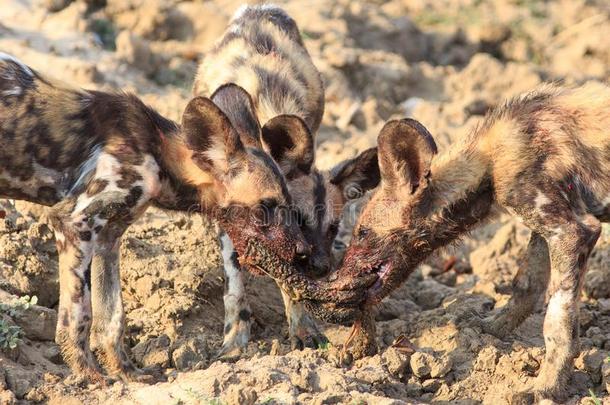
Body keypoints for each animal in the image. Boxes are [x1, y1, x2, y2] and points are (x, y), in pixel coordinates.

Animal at [0, 52, 312, 382]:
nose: (304, 252)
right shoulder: (73, 222)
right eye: (266, 205)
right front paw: (90, 376)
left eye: (289, 204)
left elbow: (112, 317)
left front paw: (127, 374)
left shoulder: (108, 238)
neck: (158, 152)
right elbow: (79, 315)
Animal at [194, 5, 380, 354]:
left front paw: (302, 328)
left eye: (333, 228)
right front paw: (235, 338)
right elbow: (235, 284)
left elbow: (290, 280)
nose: (321, 268)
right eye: (298, 219)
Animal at [312, 83, 604, 400]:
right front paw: (494, 329)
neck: (488, 161)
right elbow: (525, 285)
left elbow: (557, 322)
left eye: (362, 232)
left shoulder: (572, 232)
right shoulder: (545, 230)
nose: (334, 279)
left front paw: (546, 388)